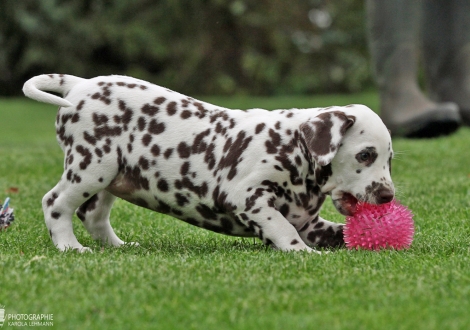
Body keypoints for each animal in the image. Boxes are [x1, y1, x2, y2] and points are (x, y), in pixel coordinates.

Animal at [23, 74, 394, 253]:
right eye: (365, 155)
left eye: (389, 160)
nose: (388, 196)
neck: (292, 147)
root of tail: (80, 85)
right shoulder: (249, 198)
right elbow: (283, 229)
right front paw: (302, 253)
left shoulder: (309, 222)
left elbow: (335, 232)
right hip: (91, 168)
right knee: (55, 204)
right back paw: (70, 247)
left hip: (111, 176)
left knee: (93, 215)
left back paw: (118, 247)